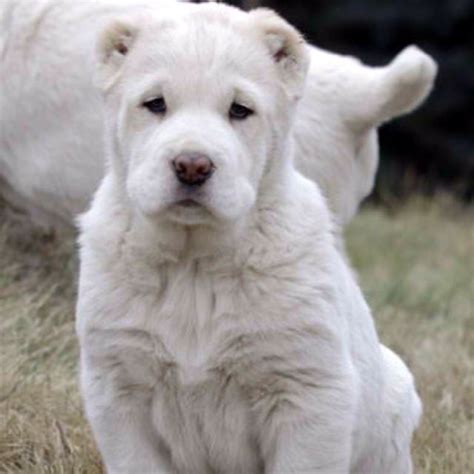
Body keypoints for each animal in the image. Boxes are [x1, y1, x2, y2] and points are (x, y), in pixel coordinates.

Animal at [78, 1, 422, 472]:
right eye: (155, 104)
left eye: (240, 110)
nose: (192, 165)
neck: (194, 265)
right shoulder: (118, 390)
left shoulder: (308, 394)